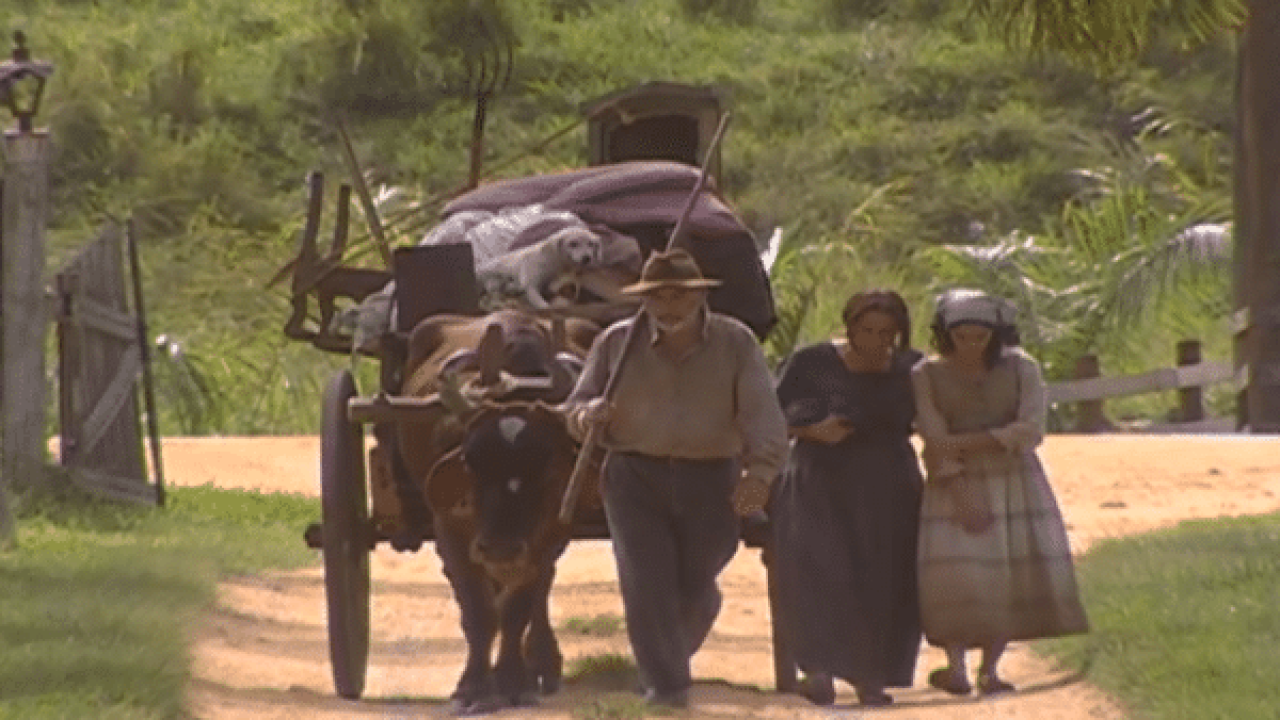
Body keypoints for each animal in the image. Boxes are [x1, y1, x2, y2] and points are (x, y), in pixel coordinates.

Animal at [476, 225, 604, 307]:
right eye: (573, 244)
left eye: (591, 244)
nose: (587, 258)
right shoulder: (531, 286)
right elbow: (544, 305)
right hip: (492, 275)